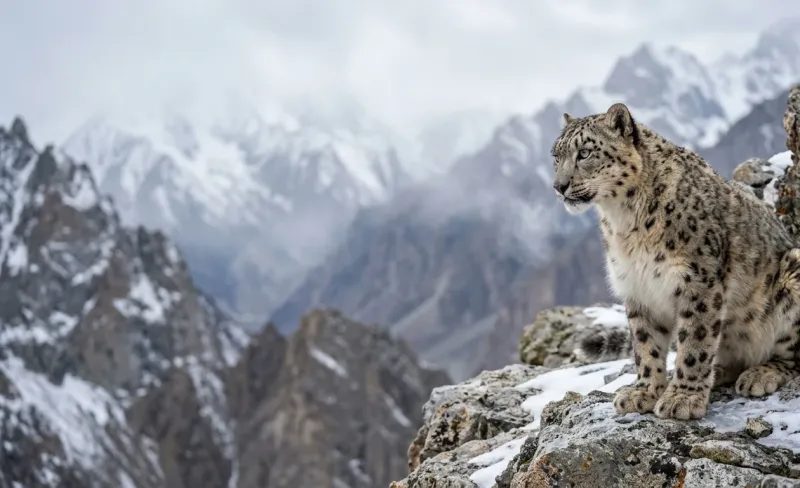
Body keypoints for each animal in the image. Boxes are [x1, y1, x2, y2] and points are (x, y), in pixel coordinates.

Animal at [551, 102, 800, 420]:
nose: (559, 186)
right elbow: (645, 344)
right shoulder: (637, 286)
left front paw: (683, 398)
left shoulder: (697, 280)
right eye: (556, 156)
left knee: (793, 357)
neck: (624, 221)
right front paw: (644, 391)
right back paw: (720, 371)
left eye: (584, 153)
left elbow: (695, 340)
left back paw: (760, 374)